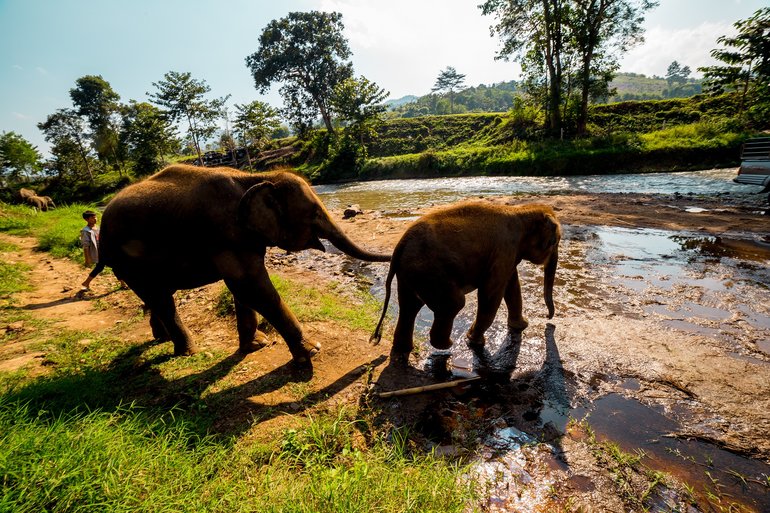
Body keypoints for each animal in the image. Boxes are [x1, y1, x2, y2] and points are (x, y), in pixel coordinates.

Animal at [99, 164, 390, 364]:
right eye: (315, 213)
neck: (256, 177)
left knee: (157, 295)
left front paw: (256, 345)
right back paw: (187, 352)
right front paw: (311, 352)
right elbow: (251, 286)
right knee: (161, 299)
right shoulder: (224, 233)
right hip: (126, 260)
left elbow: (243, 290)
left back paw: (161, 338)